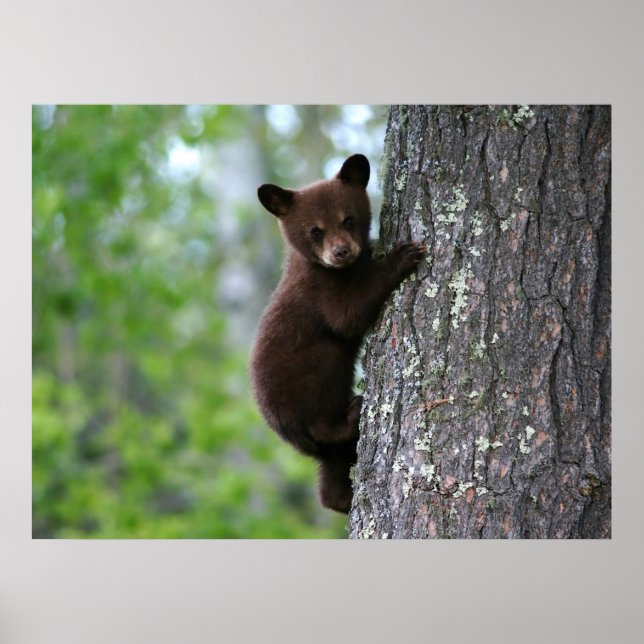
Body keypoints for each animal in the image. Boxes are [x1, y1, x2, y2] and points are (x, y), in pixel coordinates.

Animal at [250, 154, 426, 514]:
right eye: (315, 230)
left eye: (348, 220)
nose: (341, 252)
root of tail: (284, 431)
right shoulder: (319, 290)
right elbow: (348, 315)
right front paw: (400, 257)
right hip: (309, 377)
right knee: (325, 403)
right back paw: (352, 412)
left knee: (332, 471)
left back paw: (341, 499)